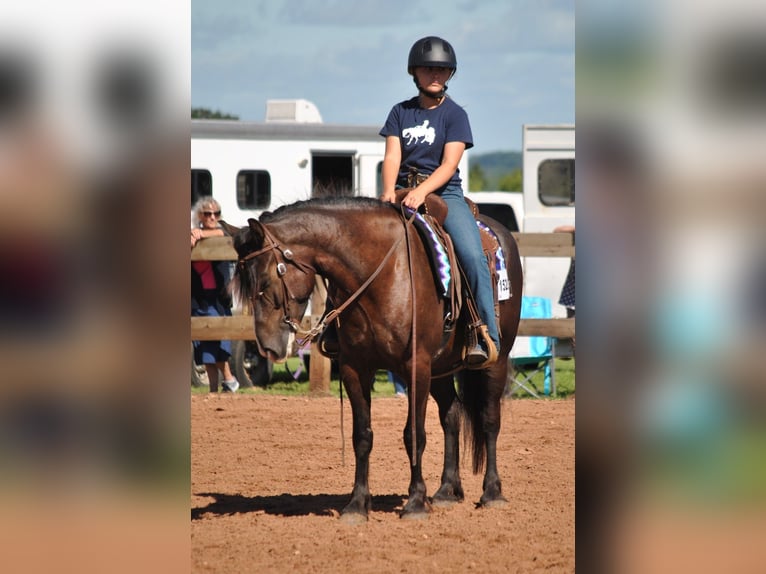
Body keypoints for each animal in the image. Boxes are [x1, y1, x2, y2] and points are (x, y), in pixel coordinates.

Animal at [225, 196, 522, 522]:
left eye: (266, 279)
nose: (266, 347)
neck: (382, 273)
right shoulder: (355, 368)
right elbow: (362, 436)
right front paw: (357, 504)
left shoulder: (416, 366)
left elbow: (414, 435)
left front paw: (415, 502)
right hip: (440, 369)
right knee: (452, 415)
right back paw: (446, 490)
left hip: (494, 360)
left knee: (489, 419)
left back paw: (492, 492)